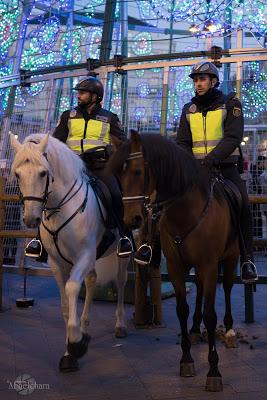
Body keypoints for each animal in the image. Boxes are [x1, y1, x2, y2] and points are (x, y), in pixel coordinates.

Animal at [11, 134, 130, 372]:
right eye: (18, 174)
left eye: (43, 173)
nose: (30, 219)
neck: (61, 208)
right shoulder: (57, 263)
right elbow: (66, 304)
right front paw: (69, 353)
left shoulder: (83, 256)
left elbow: (73, 287)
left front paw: (76, 343)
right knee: (92, 280)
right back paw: (85, 327)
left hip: (120, 254)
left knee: (121, 281)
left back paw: (120, 325)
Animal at [107, 130, 241, 390]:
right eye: (118, 175)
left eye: (137, 171)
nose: (131, 219)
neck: (187, 212)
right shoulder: (177, 267)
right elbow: (182, 309)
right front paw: (187, 360)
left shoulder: (210, 265)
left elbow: (211, 315)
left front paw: (213, 371)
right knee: (199, 288)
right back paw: (195, 329)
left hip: (231, 257)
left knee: (229, 287)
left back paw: (229, 332)